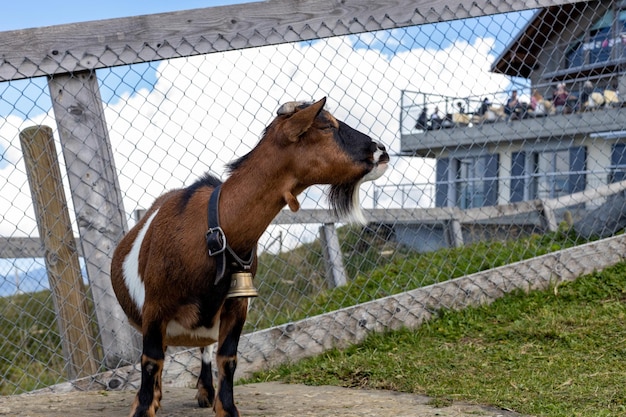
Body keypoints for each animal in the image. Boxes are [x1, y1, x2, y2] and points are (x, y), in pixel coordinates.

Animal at [109, 98, 388, 416]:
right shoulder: (155, 306)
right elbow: (151, 360)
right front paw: (143, 407)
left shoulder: (237, 304)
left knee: (205, 349)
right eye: (327, 125)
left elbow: (227, 358)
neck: (210, 233)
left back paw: (205, 393)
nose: (382, 150)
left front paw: (226, 409)